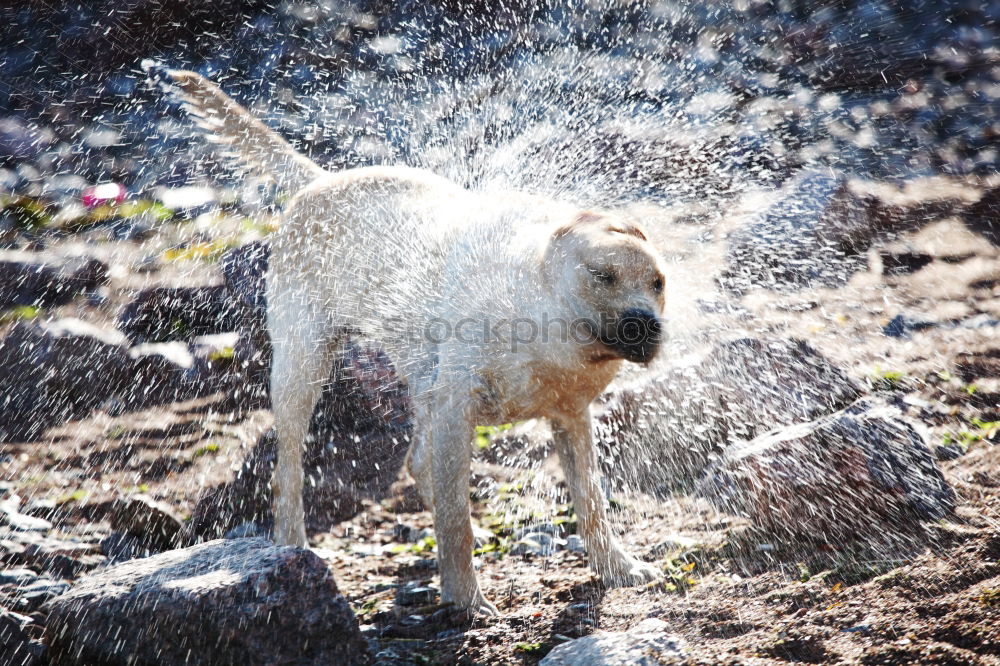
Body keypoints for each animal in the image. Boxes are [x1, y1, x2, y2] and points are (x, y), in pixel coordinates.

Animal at [152, 65, 668, 616]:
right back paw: (293, 547)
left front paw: (617, 566)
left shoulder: (570, 418)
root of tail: (321, 179)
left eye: (658, 283)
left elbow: (590, 503)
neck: (543, 324)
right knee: (288, 473)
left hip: (419, 382)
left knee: (419, 463)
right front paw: (465, 597)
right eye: (602, 275)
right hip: (301, 368)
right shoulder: (457, 408)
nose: (645, 325)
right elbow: (455, 525)